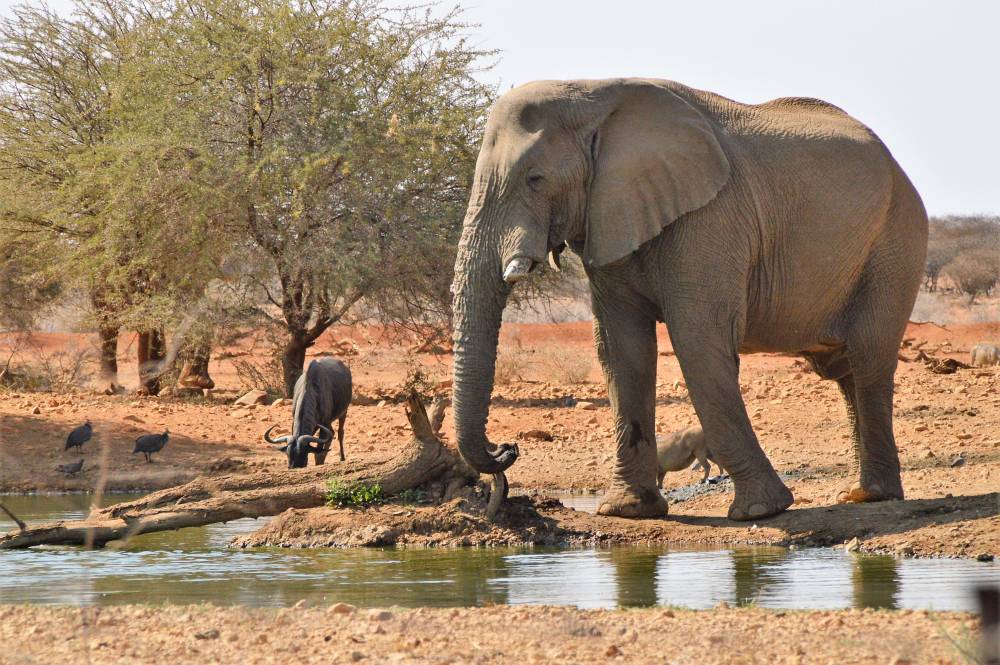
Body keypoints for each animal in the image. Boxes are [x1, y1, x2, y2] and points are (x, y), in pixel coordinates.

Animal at [454, 78, 928, 520]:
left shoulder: (711, 217)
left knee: (868, 359)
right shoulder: (610, 217)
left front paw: (761, 511)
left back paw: (875, 495)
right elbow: (621, 349)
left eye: (535, 179)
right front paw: (628, 510)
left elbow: (698, 341)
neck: (595, 95)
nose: (506, 449)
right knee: (844, 370)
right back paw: (862, 494)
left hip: (895, 243)